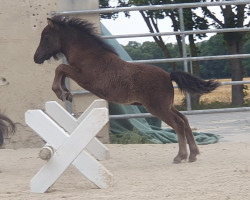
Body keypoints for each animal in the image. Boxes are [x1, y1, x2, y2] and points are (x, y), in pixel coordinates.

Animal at [34, 16, 220, 163]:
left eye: (46, 36)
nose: (36, 58)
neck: (89, 55)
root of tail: (168, 76)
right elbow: (62, 70)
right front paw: (66, 93)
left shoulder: (84, 77)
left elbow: (61, 68)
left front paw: (61, 92)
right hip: (167, 106)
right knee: (185, 120)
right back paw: (193, 154)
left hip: (158, 108)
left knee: (178, 124)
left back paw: (180, 156)